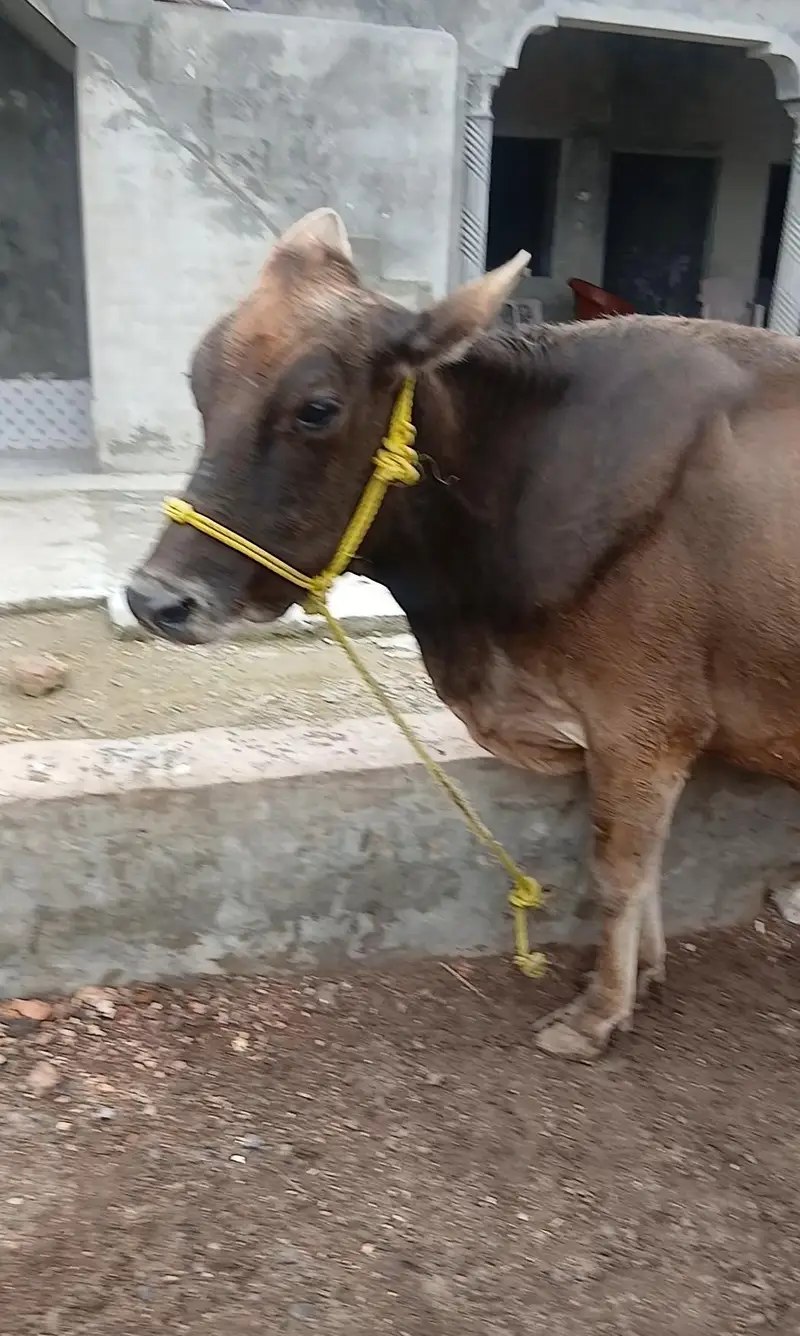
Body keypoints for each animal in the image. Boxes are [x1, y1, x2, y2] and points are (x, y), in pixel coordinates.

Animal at [127, 207, 800, 1061]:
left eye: (318, 407)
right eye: (198, 386)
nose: (155, 598)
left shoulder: (644, 721)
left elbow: (619, 872)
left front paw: (596, 1013)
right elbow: (647, 870)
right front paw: (642, 976)